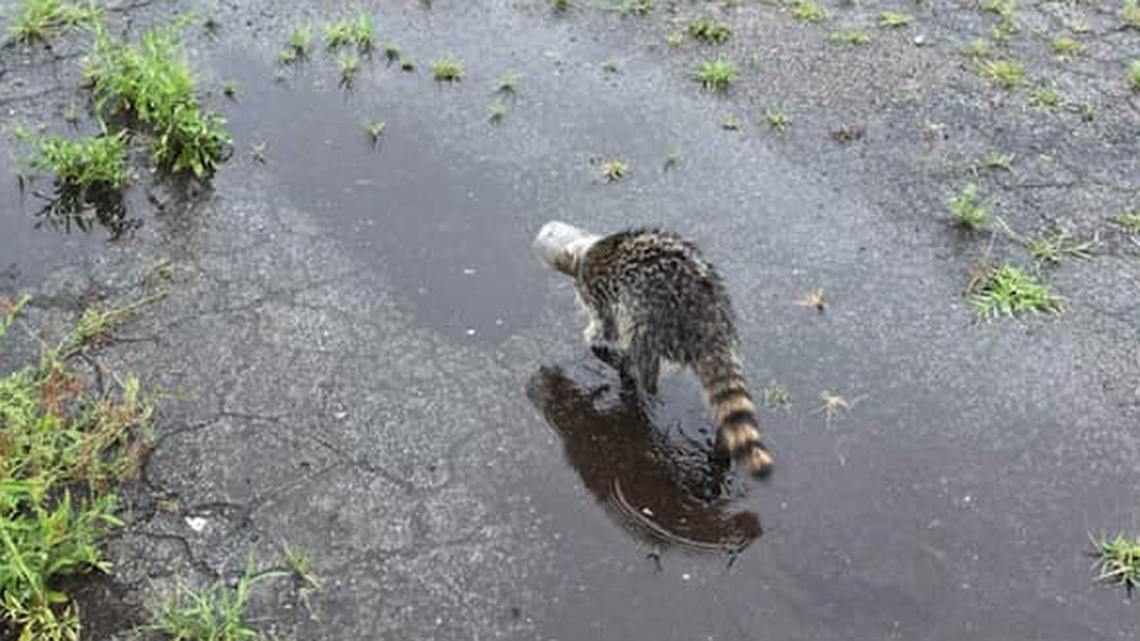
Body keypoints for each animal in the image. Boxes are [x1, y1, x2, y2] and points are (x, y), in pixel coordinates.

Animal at [534, 221, 774, 477]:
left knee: (640, 349)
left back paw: (637, 376)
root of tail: (707, 320)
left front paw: (598, 346)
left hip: (651, 314)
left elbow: (604, 332)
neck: (586, 250)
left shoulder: (600, 295)